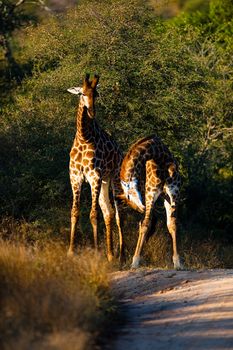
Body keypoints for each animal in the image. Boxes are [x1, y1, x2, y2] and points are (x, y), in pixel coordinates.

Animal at [67, 74, 124, 262]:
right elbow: (75, 212)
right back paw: (111, 255)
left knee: (119, 215)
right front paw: (70, 251)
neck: (84, 137)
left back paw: (121, 255)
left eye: (96, 94)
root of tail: (121, 152)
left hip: (114, 178)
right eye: (82, 94)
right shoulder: (75, 177)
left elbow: (93, 214)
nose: (92, 112)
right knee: (108, 211)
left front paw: (97, 252)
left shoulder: (94, 176)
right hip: (105, 181)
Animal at [119, 135, 183, 270]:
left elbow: (172, 224)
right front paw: (135, 261)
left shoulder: (174, 194)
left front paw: (177, 262)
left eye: (130, 194)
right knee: (142, 222)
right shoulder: (150, 194)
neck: (161, 159)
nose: (139, 208)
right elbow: (145, 224)